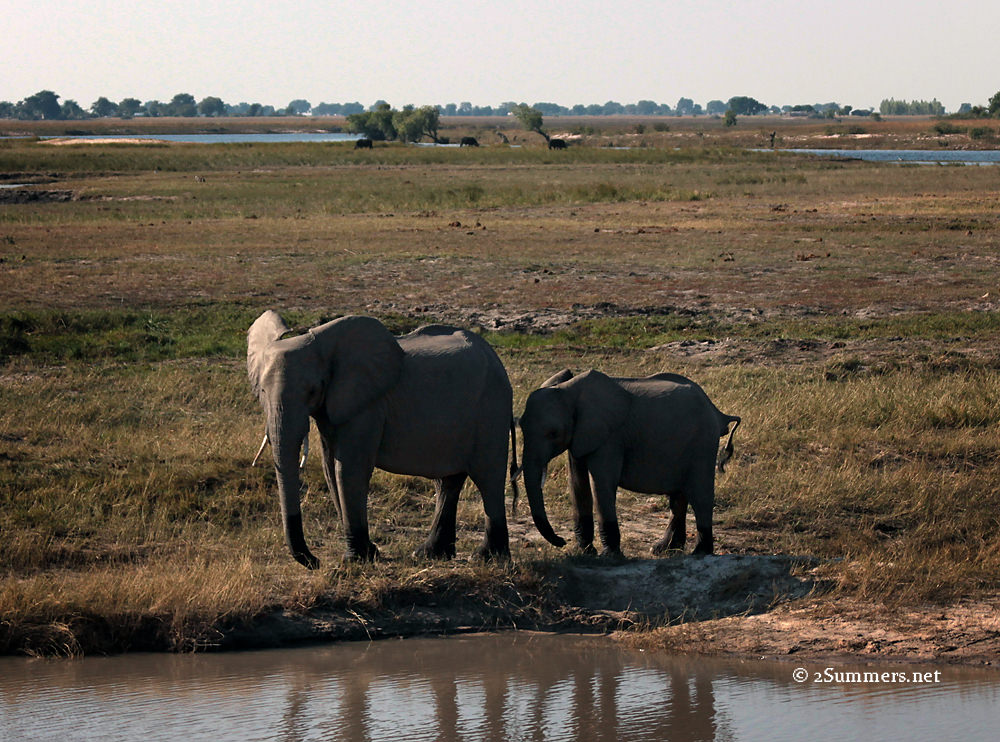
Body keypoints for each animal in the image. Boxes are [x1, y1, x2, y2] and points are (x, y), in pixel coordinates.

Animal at [247, 310, 516, 567]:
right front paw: (369, 554)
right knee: (448, 482)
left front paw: (356, 560)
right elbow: (330, 468)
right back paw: (430, 554)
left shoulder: (368, 407)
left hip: (491, 408)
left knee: (488, 478)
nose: (316, 562)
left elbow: (349, 470)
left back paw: (486, 559)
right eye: (262, 390)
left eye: (312, 391)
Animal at [517, 369, 740, 557]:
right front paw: (584, 553)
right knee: (678, 498)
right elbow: (578, 484)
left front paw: (610, 557)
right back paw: (663, 550)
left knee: (700, 495)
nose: (561, 540)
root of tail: (717, 412)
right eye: (520, 425)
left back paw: (699, 553)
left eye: (553, 433)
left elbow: (601, 483)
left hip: (703, 442)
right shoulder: (580, 436)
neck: (569, 390)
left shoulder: (610, 437)